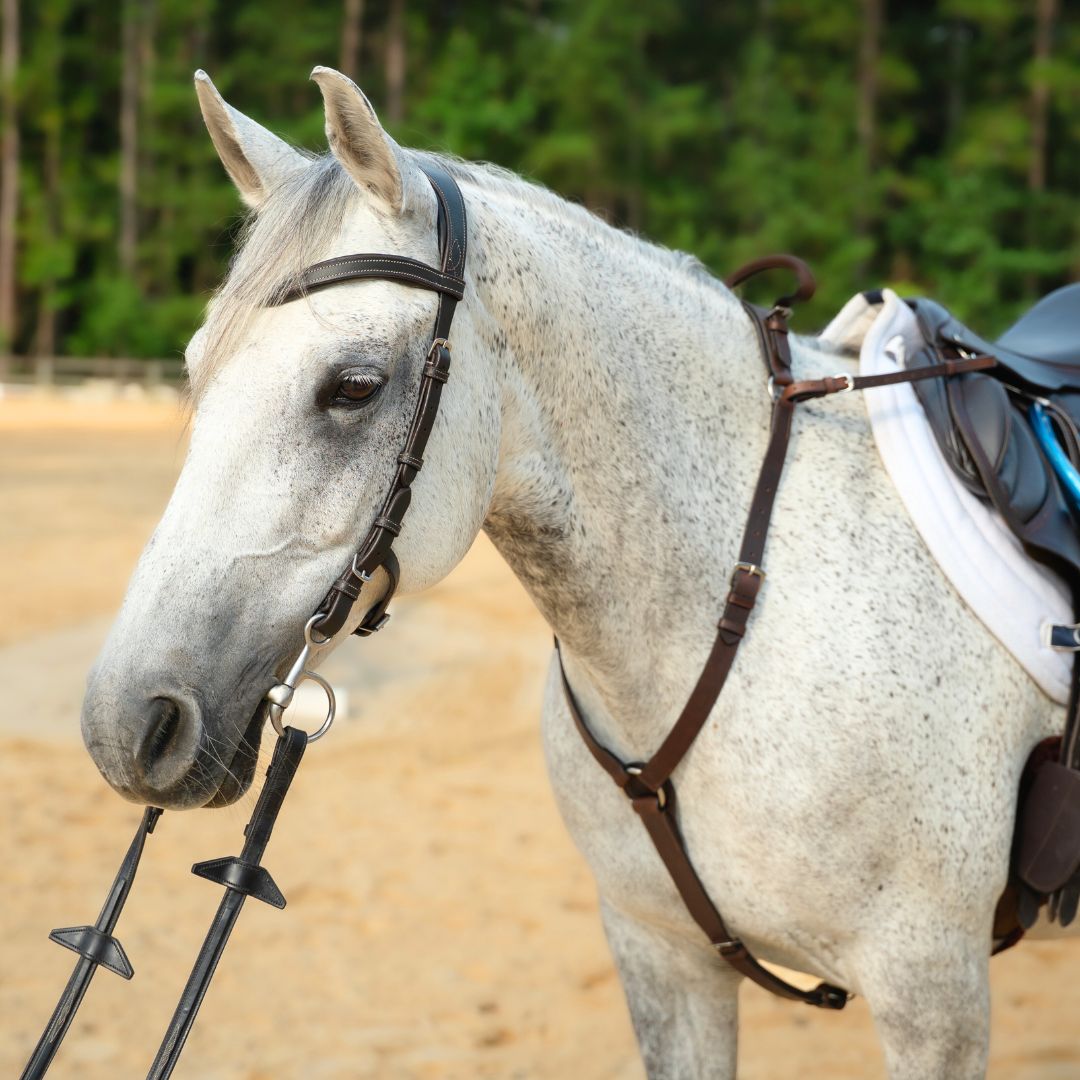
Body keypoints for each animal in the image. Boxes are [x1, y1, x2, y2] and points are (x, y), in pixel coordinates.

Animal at [79, 66, 1062, 1079]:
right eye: (197, 366)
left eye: (353, 387)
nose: (129, 724)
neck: (737, 610)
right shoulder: (660, 953)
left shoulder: (931, 994)